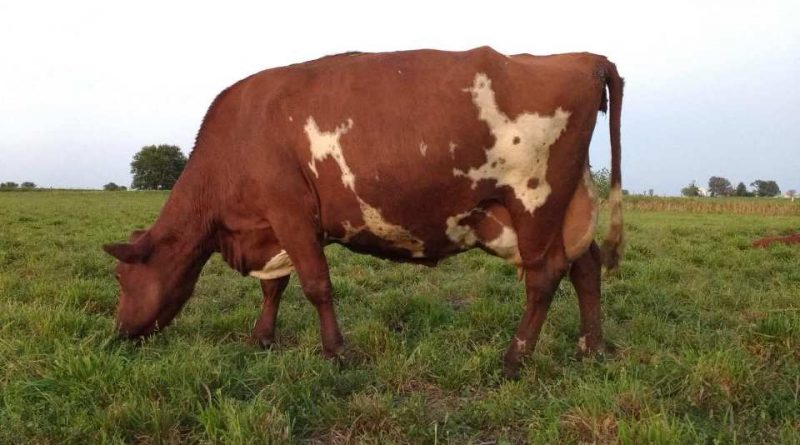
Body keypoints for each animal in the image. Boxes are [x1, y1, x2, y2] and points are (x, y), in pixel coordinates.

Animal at [103, 46, 620, 376]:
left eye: (122, 277)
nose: (119, 333)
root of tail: (582, 58)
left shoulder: (290, 213)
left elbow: (315, 285)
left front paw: (335, 354)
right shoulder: (273, 225)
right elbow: (274, 286)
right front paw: (261, 339)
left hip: (535, 200)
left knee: (545, 276)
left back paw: (515, 359)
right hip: (567, 206)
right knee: (586, 266)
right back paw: (591, 348)